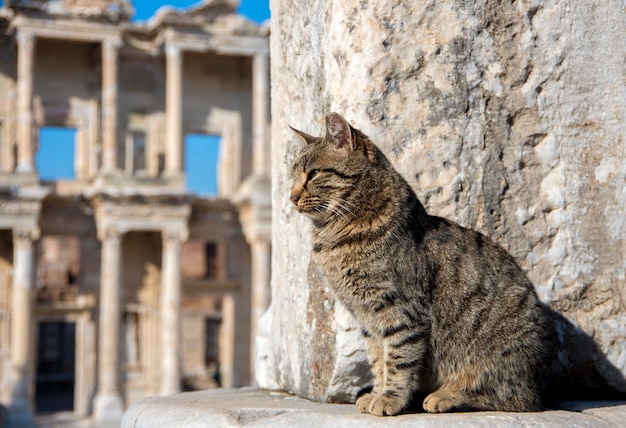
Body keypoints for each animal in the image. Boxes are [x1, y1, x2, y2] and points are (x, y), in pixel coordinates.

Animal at [288, 113, 556, 414]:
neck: (336, 235)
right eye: (292, 177)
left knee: (511, 397)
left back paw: (446, 396)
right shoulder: (367, 318)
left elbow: (398, 358)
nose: (291, 197)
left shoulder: (402, 309)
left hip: (501, 356)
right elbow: (378, 359)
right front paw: (377, 392)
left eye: (313, 174)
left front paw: (390, 398)